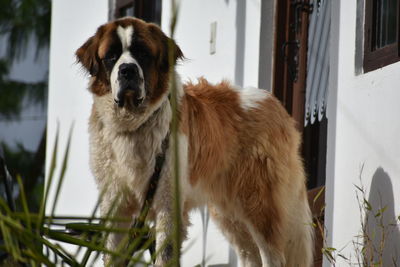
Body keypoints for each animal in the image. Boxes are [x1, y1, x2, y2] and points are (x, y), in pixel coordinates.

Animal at [74, 17, 312, 267]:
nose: (127, 70)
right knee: (249, 253)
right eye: (111, 56)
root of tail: (275, 104)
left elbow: (165, 254)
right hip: (228, 212)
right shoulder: (115, 205)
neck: (133, 126)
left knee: (272, 253)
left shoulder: (167, 202)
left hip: (258, 201)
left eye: (143, 53)